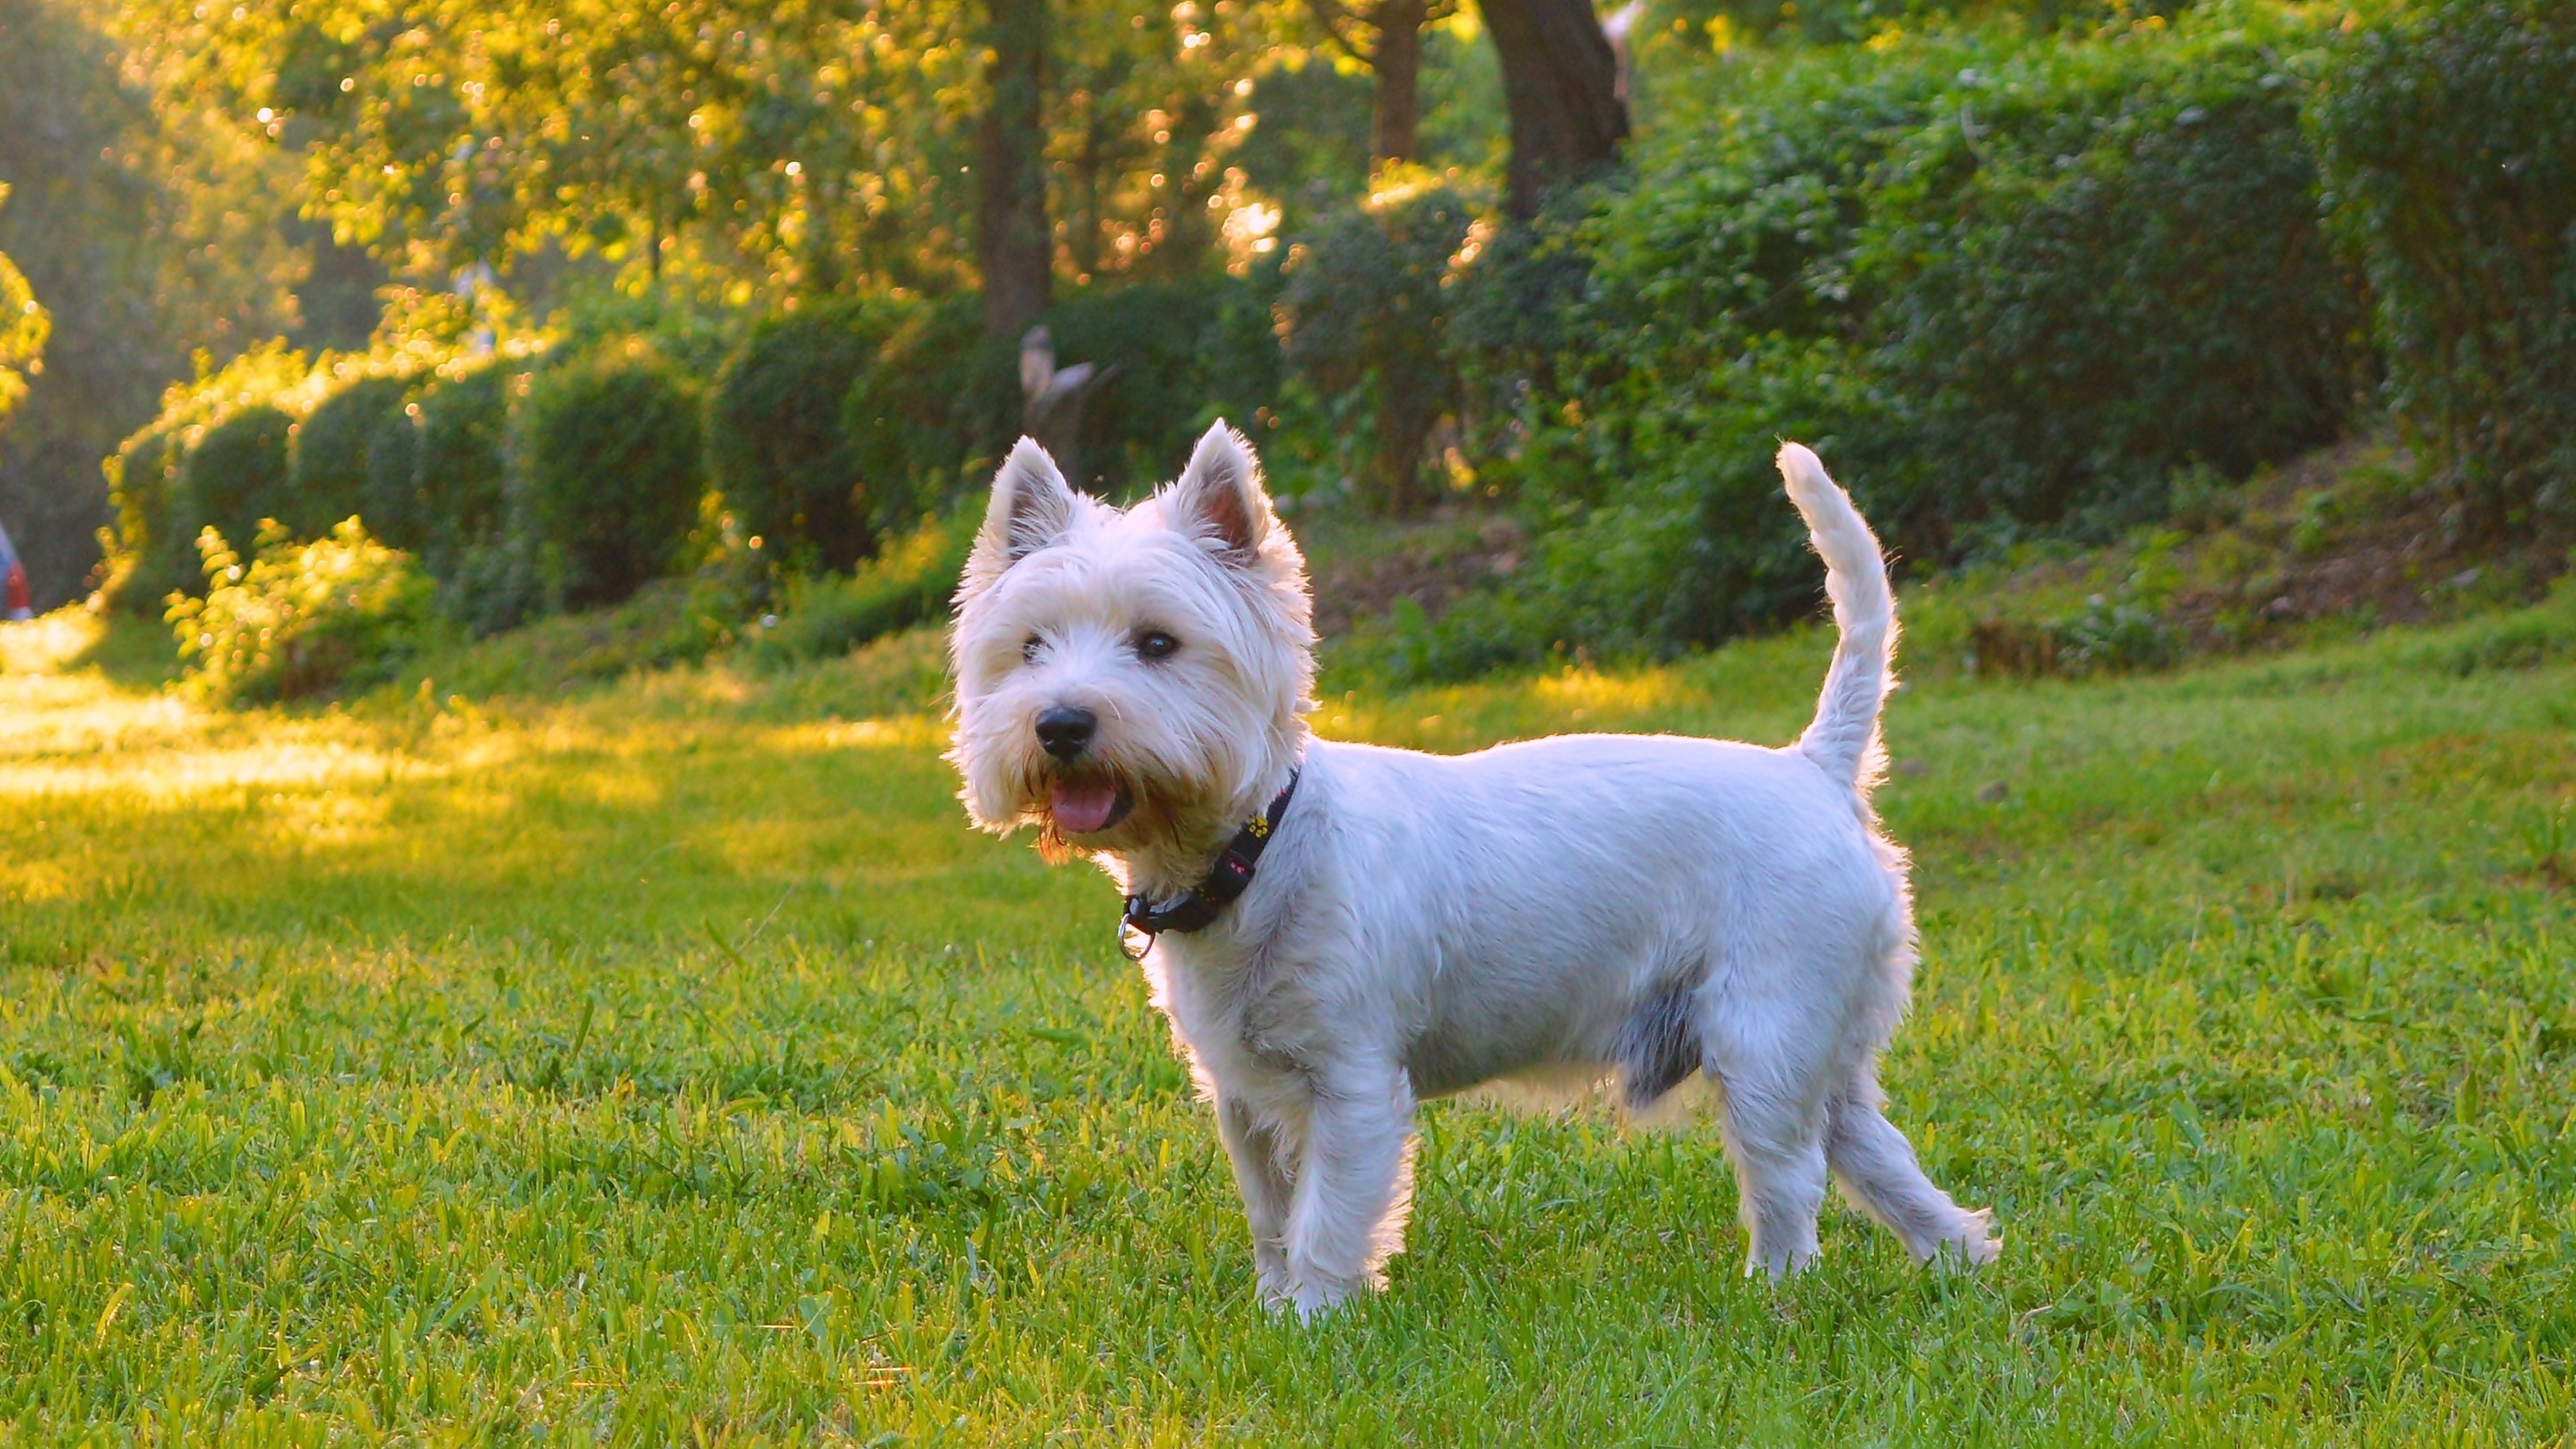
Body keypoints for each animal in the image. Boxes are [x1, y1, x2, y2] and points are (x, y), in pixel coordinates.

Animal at [948, 417, 1988, 1309]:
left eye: (1158, 643)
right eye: (1030, 647)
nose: (1062, 723)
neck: (1255, 851)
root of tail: (1815, 768)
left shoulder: (1354, 1080)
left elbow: (1327, 1218)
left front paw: (1312, 1324)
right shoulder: (1243, 1093)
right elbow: (1272, 1216)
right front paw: (1272, 1308)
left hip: (1765, 1032)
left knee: (1791, 1178)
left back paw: (1773, 1294)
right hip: (1824, 1039)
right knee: (1880, 1157)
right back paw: (1962, 1262)